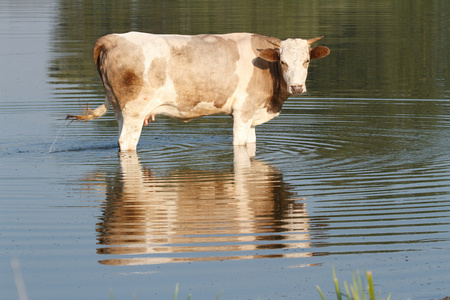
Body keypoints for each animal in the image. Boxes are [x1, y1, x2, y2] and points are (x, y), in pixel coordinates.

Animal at [67, 31, 328, 151]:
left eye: (306, 61)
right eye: (283, 62)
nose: (297, 87)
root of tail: (113, 38)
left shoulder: (253, 114)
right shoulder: (243, 112)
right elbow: (240, 145)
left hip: (120, 110)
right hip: (134, 110)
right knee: (127, 142)